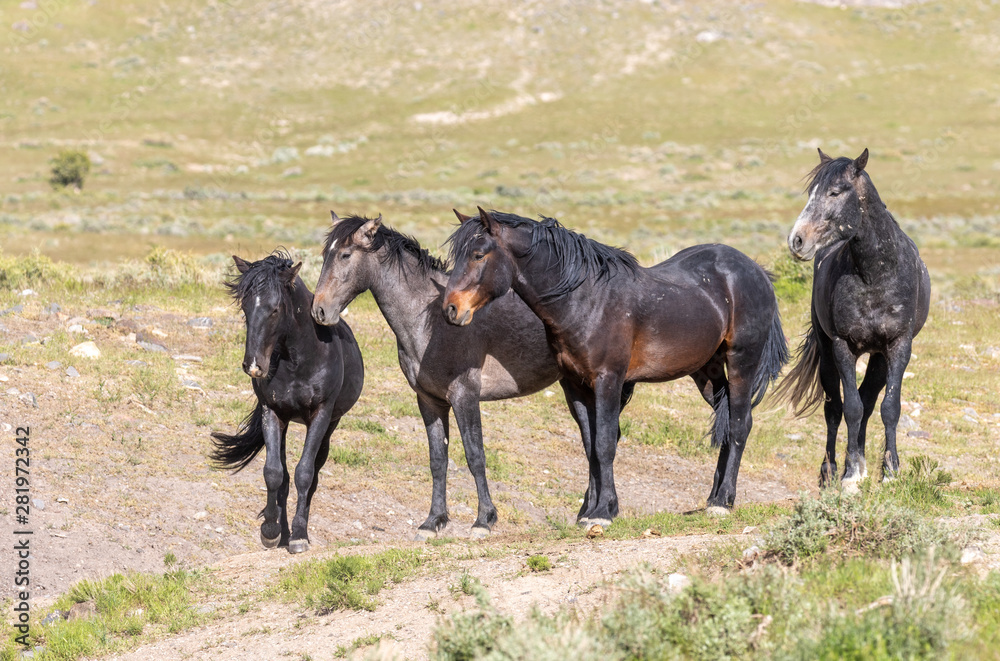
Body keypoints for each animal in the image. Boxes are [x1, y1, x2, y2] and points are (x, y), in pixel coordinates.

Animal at [210, 252, 364, 553]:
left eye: (275, 310)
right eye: (245, 307)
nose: (254, 365)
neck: (298, 361)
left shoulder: (320, 414)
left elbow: (304, 472)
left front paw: (299, 536)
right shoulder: (272, 412)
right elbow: (273, 472)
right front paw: (271, 531)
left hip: (330, 426)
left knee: (313, 474)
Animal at [311, 212, 623, 538]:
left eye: (345, 254)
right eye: (326, 254)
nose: (319, 311)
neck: (431, 322)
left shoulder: (465, 397)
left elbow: (475, 456)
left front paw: (484, 519)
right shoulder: (429, 402)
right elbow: (438, 460)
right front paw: (433, 521)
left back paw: (597, 512)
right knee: (592, 442)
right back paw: (587, 512)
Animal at [443, 208, 788, 524]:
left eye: (478, 254)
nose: (451, 309)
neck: (585, 299)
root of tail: (756, 271)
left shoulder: (608, 380)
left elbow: (605, 443)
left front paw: (602, 513)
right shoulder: (574, 386)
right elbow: (590, 446)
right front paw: (591, 510)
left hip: (742, 362)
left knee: (740, 425)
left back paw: (723, 502)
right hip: (707, 374)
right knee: (729, 422)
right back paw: (714, 497)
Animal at [777, 148, 931, 489]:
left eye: (835, 192)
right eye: (812, 192)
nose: (797, 240)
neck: (875, 274)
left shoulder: (898, 346)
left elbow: (889, 408)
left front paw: (890, 472)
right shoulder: (842, 346)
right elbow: (850, 408)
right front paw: (848, 476)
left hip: (878, 357)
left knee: (869, 401)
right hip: (827, 355)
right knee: (834, 407)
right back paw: (832, 470)